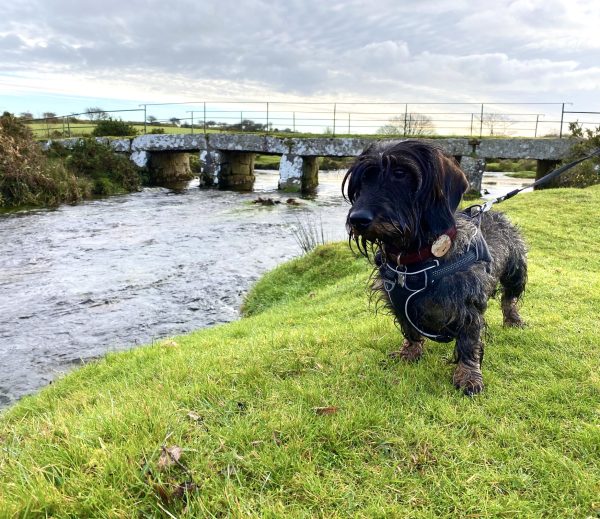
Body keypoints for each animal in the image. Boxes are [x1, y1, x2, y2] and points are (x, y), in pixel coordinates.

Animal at [344, 140, 528, 396]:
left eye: (400, 173)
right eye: (364, 179)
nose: (357, 219)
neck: (416, 259)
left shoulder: (468, 307)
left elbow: (469, 342)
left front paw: (468, 375)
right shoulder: (398, 304)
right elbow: (410, 331)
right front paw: (409, 352)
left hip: (515, 272)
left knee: (509, 299)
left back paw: (513, 320)